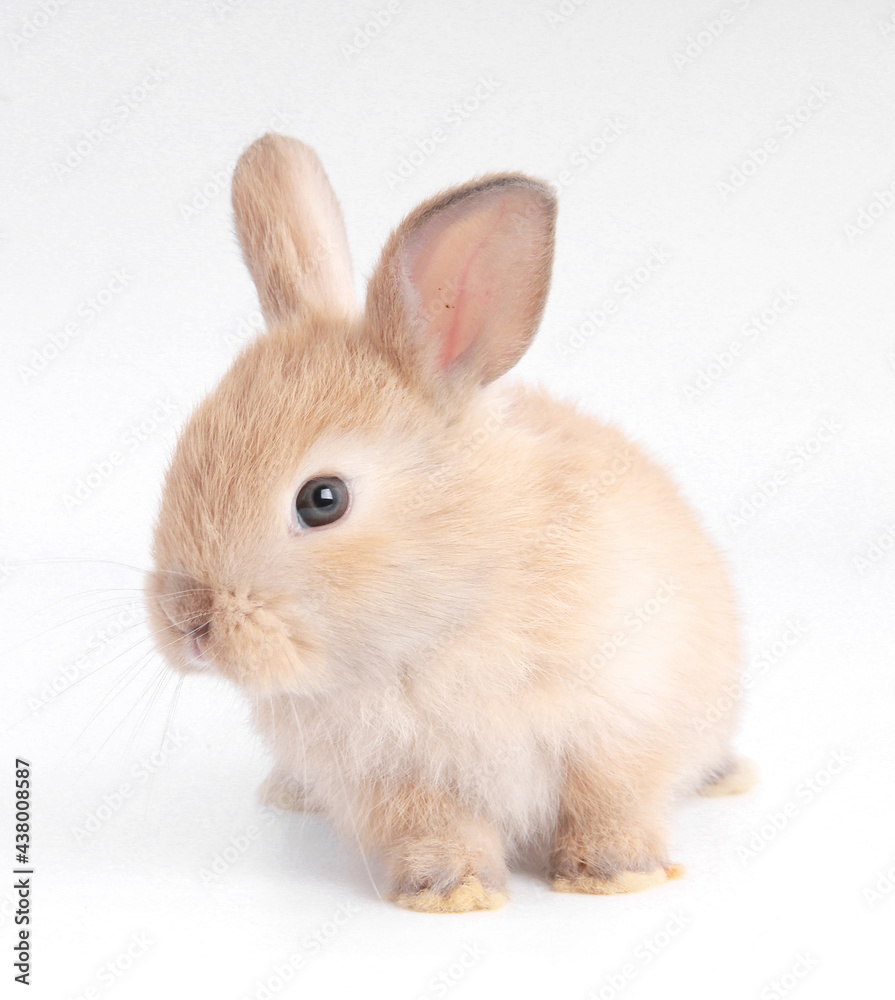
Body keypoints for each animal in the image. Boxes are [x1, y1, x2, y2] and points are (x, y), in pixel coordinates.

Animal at [149, 133, 756, 916]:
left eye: (322, 499)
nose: (188, 625)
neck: (445, 612)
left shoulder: (622, 722)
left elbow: (612, 801)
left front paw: (616, 875)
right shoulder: (398, 781)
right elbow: (438, 830)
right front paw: (451, 893)